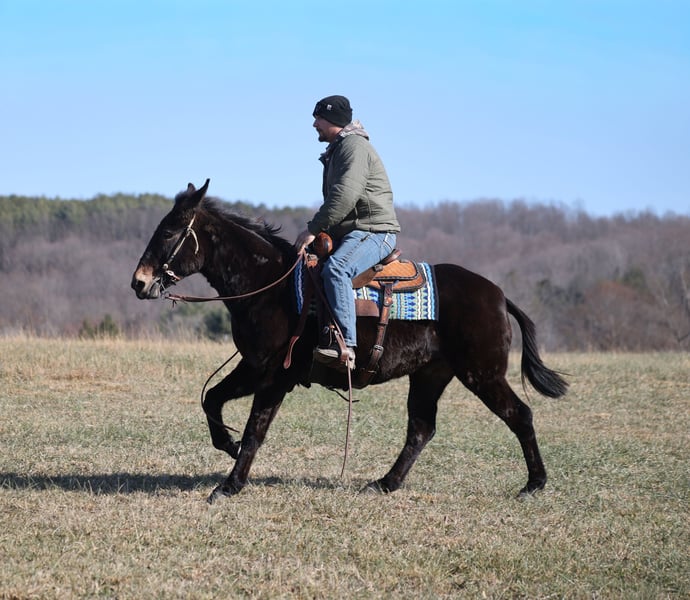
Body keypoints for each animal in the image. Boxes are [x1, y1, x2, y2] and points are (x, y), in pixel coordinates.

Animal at [131, 180, 568, 503]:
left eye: (169, 232)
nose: (139, 282)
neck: (270, 284)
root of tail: (498, 295)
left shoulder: (273, 376)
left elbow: (256, 428)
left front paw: (229, 485)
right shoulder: (253, 367)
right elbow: (213, 399)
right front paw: (229, 445)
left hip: (483, 374)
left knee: (519, 415)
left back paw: (534, 484)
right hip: (430, 375)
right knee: (421, 428)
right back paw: (385, 483)